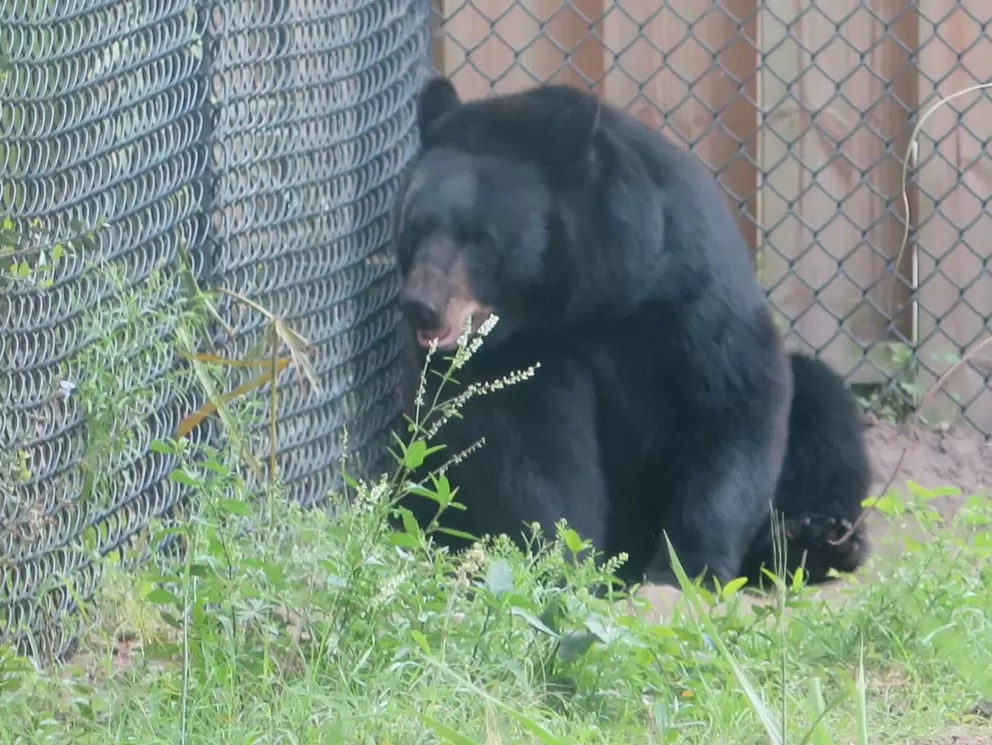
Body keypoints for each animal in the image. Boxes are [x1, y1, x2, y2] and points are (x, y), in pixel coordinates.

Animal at [389, 75, 871, 592]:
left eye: (479, 238)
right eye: (414, 227)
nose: (420, 305)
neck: (583, 305)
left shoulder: (686, 285)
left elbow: (733, 401)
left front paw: (686, 568)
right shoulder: (521, 352)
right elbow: (523, 449)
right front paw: (565, 563)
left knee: (823, 410)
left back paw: (815, 539)